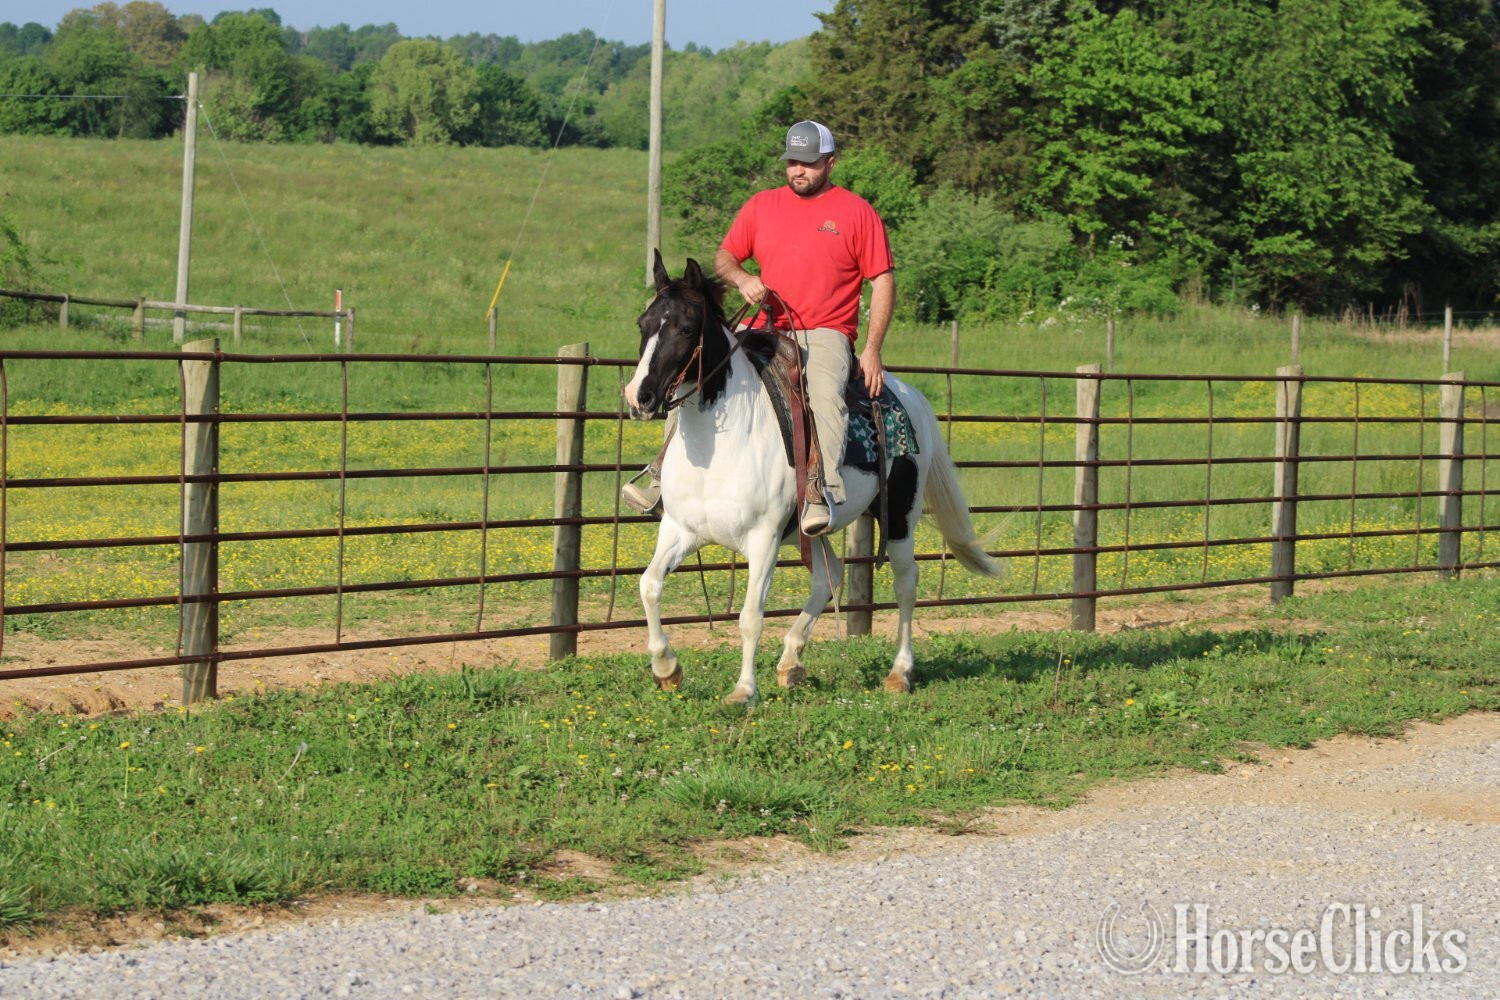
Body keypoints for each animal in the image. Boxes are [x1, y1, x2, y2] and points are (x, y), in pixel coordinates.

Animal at [624, 251, 1002, 702]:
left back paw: (899, 672)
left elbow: (750, 615)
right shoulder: (680, 529)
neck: (722, 449)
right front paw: (666, 669)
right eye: (643, 324)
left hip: (900, 516)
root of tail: (907, 394)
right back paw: (791, 661)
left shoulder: (764, 539)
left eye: (685, 328)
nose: (639, 397)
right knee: (829, 576)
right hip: (813, 531)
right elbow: (649, 586)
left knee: (905, 582)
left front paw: (744, 690)